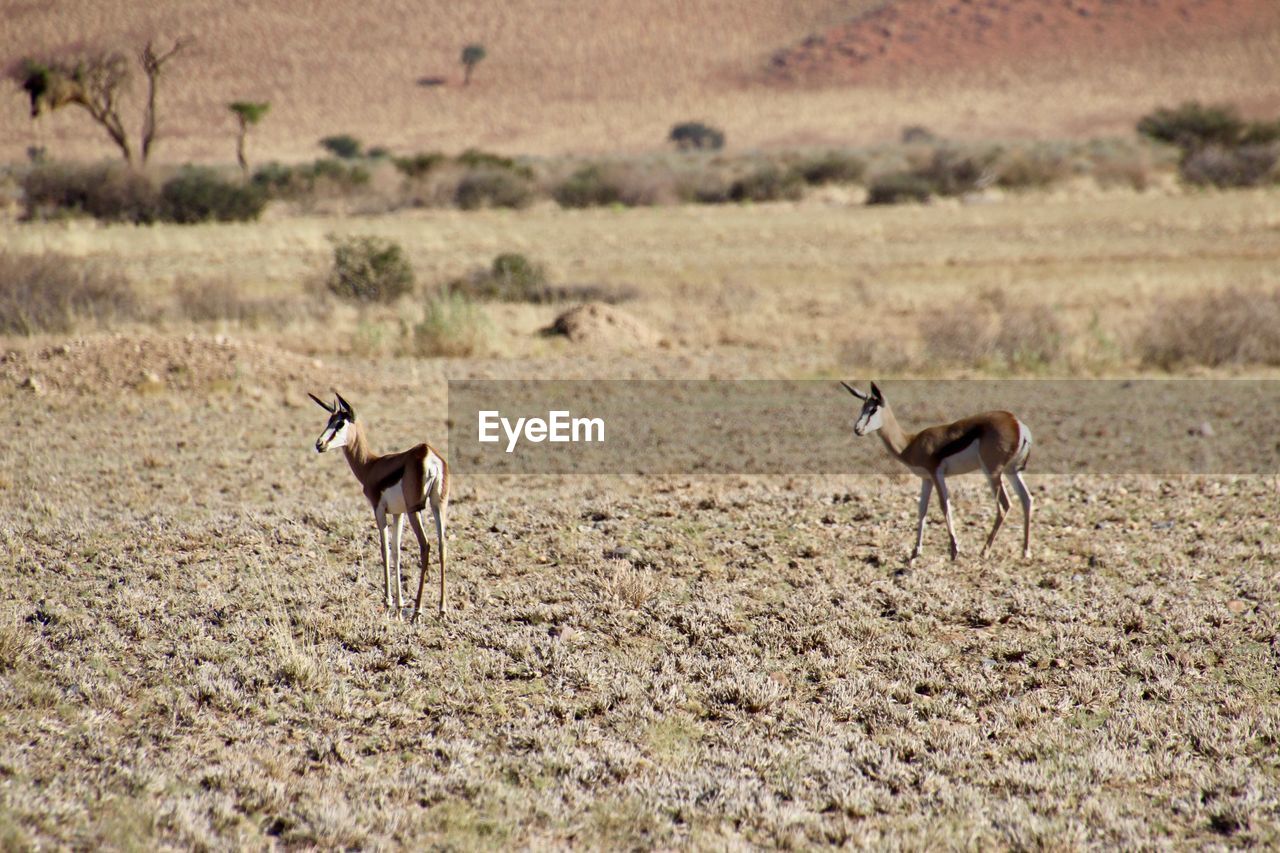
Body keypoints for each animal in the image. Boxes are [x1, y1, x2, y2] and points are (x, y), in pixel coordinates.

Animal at [309, 389, 450, 617]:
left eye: (340, 423)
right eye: (329, 420)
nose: (319, 444)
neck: (371, 465)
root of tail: (427, 453)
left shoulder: (379, 509)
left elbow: (385, 549)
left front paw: (388, 603)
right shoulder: (398, 513)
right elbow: (397, 552)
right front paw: (399, 607)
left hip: (416, 509)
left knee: (425, 545)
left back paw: (417, 611)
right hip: (439, 506)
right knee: (442, 545)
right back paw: (442, 610)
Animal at [844, 381, 1034, 560]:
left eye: (873, 409)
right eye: (862, 408)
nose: (857, 429)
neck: (910, 444)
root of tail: (1017, 424)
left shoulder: (936, 474)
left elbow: (944, 505)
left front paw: (954, 551)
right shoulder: (926, 479)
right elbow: (922, 510)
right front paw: (915, 552)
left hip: (992, 471)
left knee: (1004, 504)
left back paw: (984, 551)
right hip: (1011, 470)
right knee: (1026, 498)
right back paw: (1025, 552)